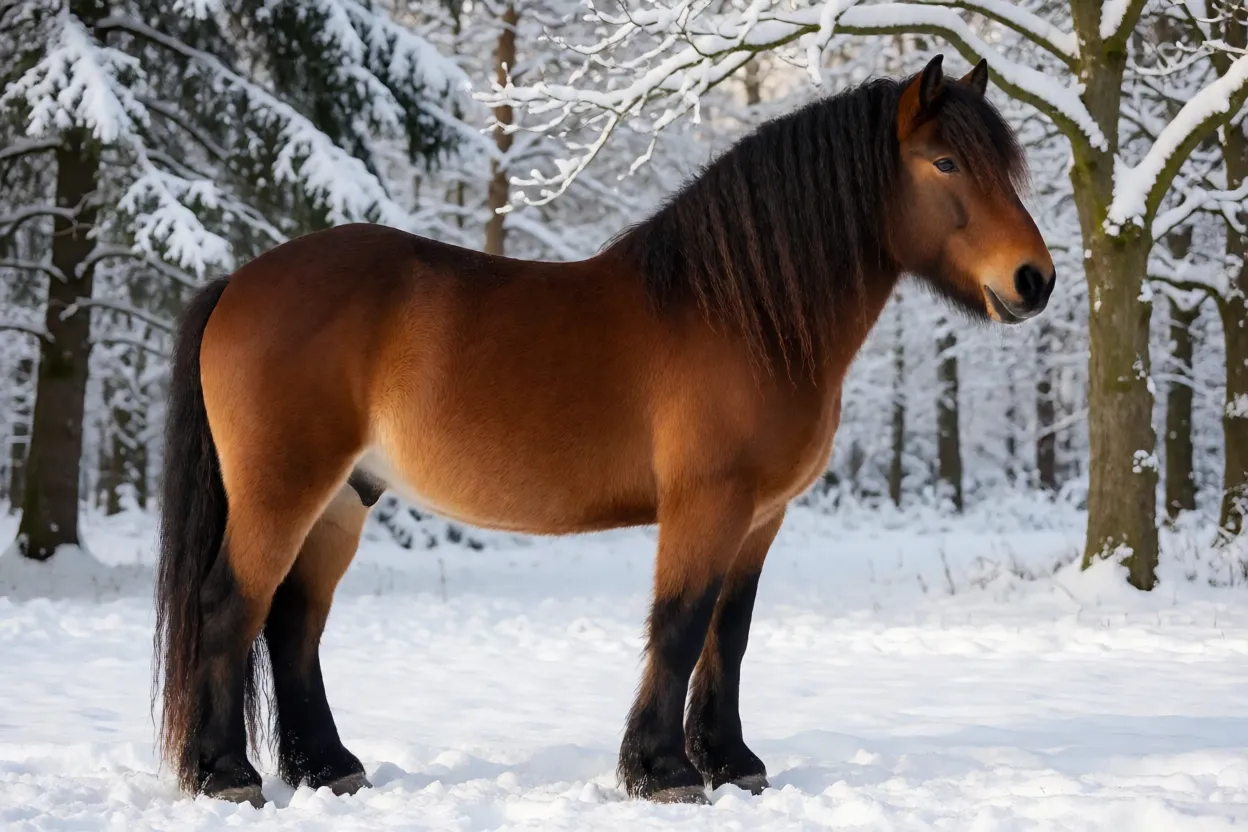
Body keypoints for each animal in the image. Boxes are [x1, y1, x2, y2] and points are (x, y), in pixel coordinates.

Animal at [154, 54, 1054, 807]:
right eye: (945, 163)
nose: (1034, 280)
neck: (739, 314)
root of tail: (240, 280)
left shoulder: (762, 515)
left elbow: (730, 632)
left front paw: (731, 763)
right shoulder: (707, 504)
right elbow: (681, 624)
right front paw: (664, 772)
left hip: (344, 498)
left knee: (293, 622)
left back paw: (330, 767)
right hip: (283, 491)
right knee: (232, 607)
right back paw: (227, 775)